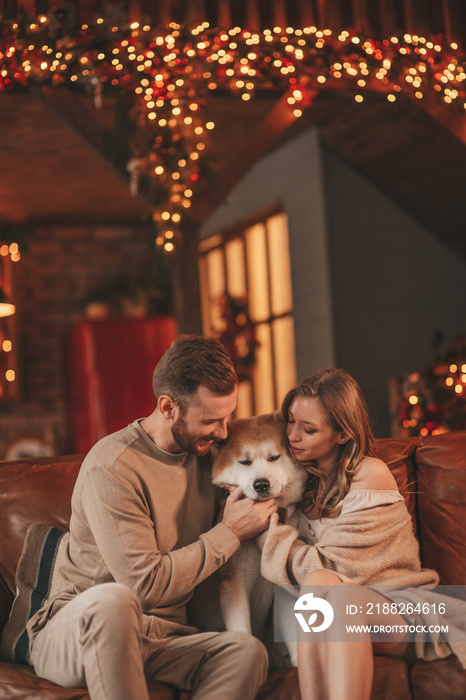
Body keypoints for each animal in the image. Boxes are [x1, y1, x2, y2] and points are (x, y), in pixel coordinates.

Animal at [210, 412, 306, 660]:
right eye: (245, 462)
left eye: (274, 457)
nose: (261, 484)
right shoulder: (235, 582)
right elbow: (243, 631)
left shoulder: (285, 586)